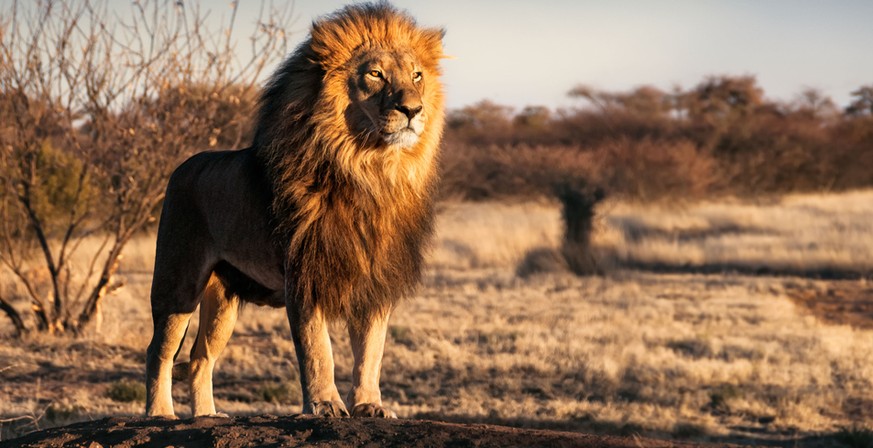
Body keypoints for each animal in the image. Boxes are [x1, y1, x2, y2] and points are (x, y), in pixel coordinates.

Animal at [146, 3, 446, 418]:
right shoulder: (304, 273)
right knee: (159, 350)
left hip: (223, 299)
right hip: (178, 282)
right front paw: (325, 405)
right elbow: (318, 349)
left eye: (417, 75)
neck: (369, 170)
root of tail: (182, 167)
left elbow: (371, 351)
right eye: (375, 74)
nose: (413, 109)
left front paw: (369, 405)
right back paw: (160, 413)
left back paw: (206, 415)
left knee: (199, 357)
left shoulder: (375, 279)